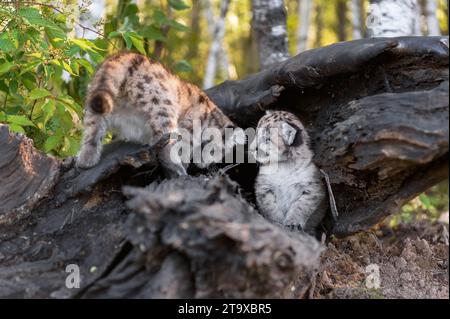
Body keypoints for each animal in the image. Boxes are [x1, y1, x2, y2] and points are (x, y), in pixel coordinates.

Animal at [76, 52, 244, 178]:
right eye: (215, 150)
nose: (203, 164)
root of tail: (125, 55)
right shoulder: (189, 128)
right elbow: (183, 149)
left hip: (95, 103)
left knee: (91, 133)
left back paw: (85, 161)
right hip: (163, 105)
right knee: (164, 144)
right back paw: (179, 171)